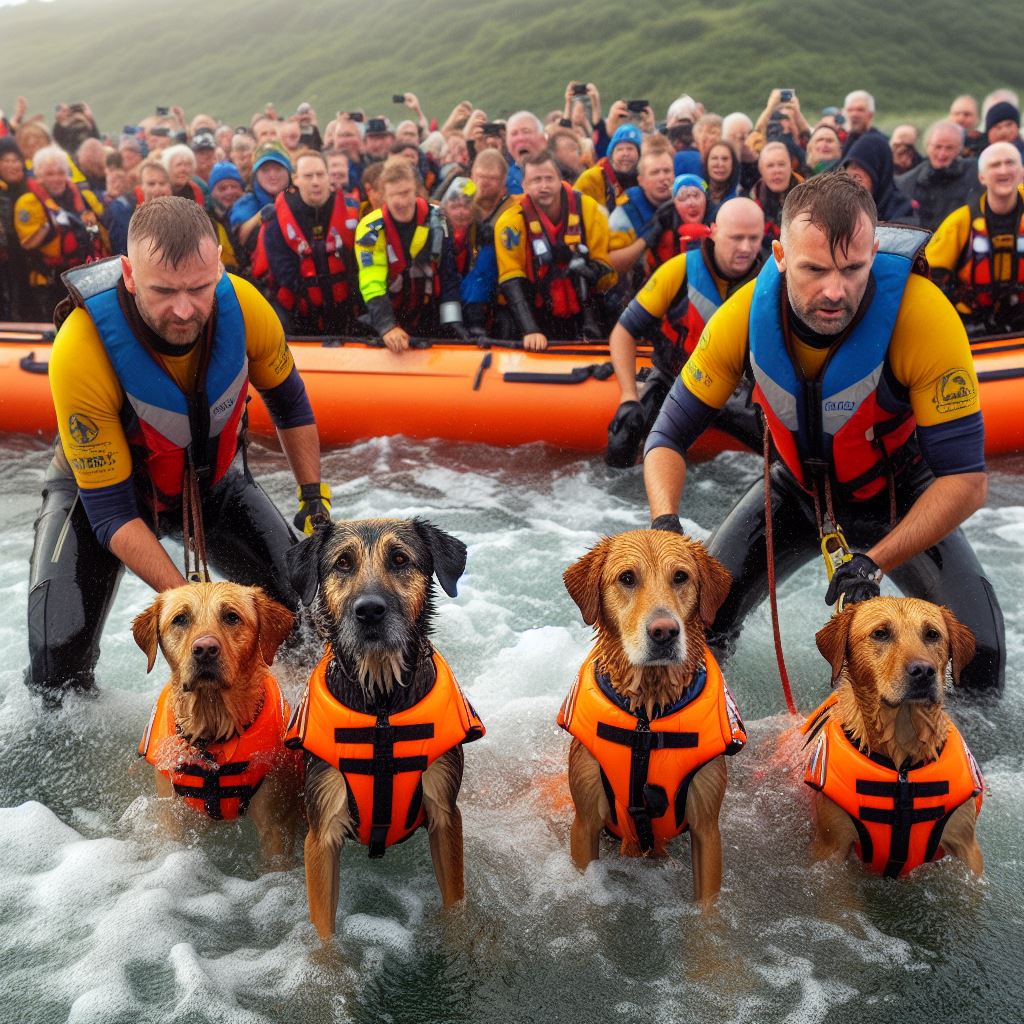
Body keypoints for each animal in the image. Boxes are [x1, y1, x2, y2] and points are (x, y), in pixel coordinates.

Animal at [132, 585, 301, 864]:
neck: (214, 730)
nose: (205, 649)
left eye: (231, 616)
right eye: (180, 619)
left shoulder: (275, 826)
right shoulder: (173, 813)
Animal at [284, 516, 483, 937]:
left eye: (400, 559)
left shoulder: (445, 812)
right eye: (343, 563)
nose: (370, 611)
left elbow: (454, 900)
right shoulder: (322, 827)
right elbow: (324, 932)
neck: (381, 703)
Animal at [561, 532, 745, 909]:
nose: (664, 632)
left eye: (681, 577)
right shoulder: (584, 824)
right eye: (627, 578)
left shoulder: (707, 829)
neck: (647, 718)